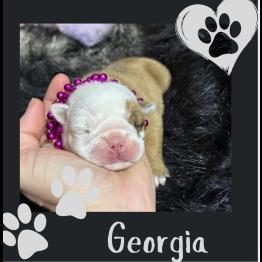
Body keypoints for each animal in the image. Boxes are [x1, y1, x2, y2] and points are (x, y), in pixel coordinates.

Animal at [50, 57, 172, 185]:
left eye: (137, 124)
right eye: (85, 130)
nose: (116, 142)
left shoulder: (153, 117)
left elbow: (153, 141)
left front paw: (156, 172)